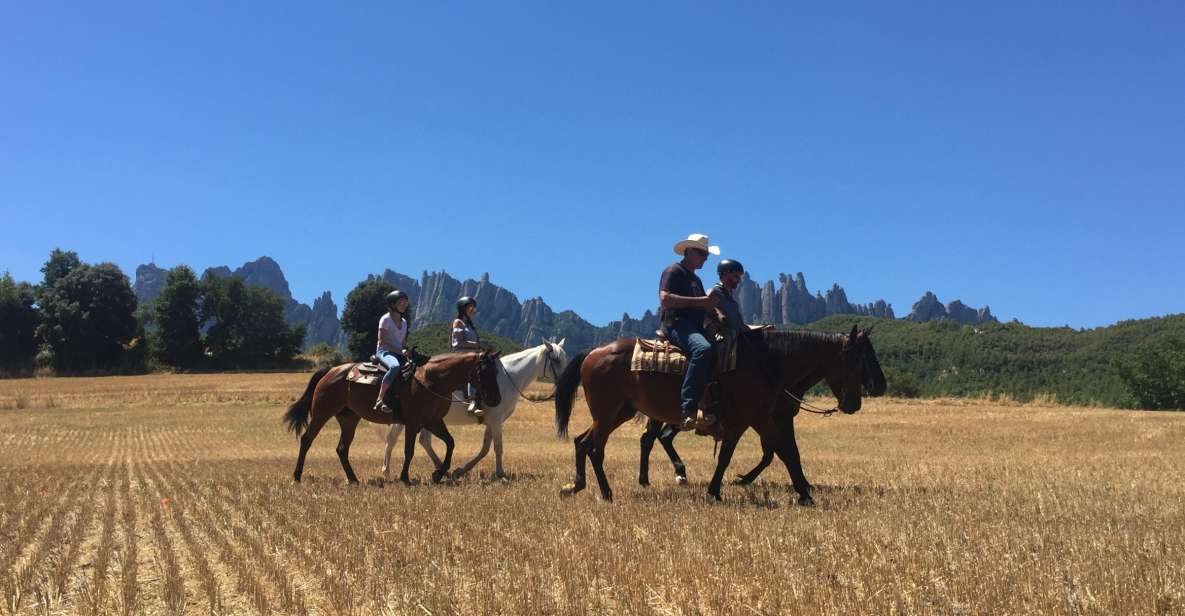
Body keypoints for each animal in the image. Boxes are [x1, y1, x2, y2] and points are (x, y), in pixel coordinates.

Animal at [284, 350, 502, 485]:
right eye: (484, 371)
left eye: (496, 370)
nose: (496, 399)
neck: (432, 380)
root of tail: (330, 370)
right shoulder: (413, 422)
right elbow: (409, 450)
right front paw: (405, 478)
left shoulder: (433, 421)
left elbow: (450, 443)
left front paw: (438, 474)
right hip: (322, 413)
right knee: (307, 440)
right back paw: (297, 476)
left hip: (349, 419)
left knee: (342, 449)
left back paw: (353, 479)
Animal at [379, 338, 564, 478]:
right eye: (555, 359)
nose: (565, 380)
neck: (509, 378)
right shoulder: (496, 420)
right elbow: (498, 447)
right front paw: (501, 474)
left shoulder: (492, 421)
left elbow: (485, 448)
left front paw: (460, 471)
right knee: (392, 439)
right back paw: (387, 471)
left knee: (423, 441)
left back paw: (441, 469)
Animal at [552, 324, 881, 502]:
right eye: (858, 359)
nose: (855, 403)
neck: (765, 361)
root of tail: (593, 352)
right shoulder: (754, 418)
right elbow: (777, 452)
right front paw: (804, 493)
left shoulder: (757, 419)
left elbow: (776, 453)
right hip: (609, 413)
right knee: (596, 447)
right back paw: (608, 492)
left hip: (619, 412)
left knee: (585, 442)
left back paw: (579, 485)